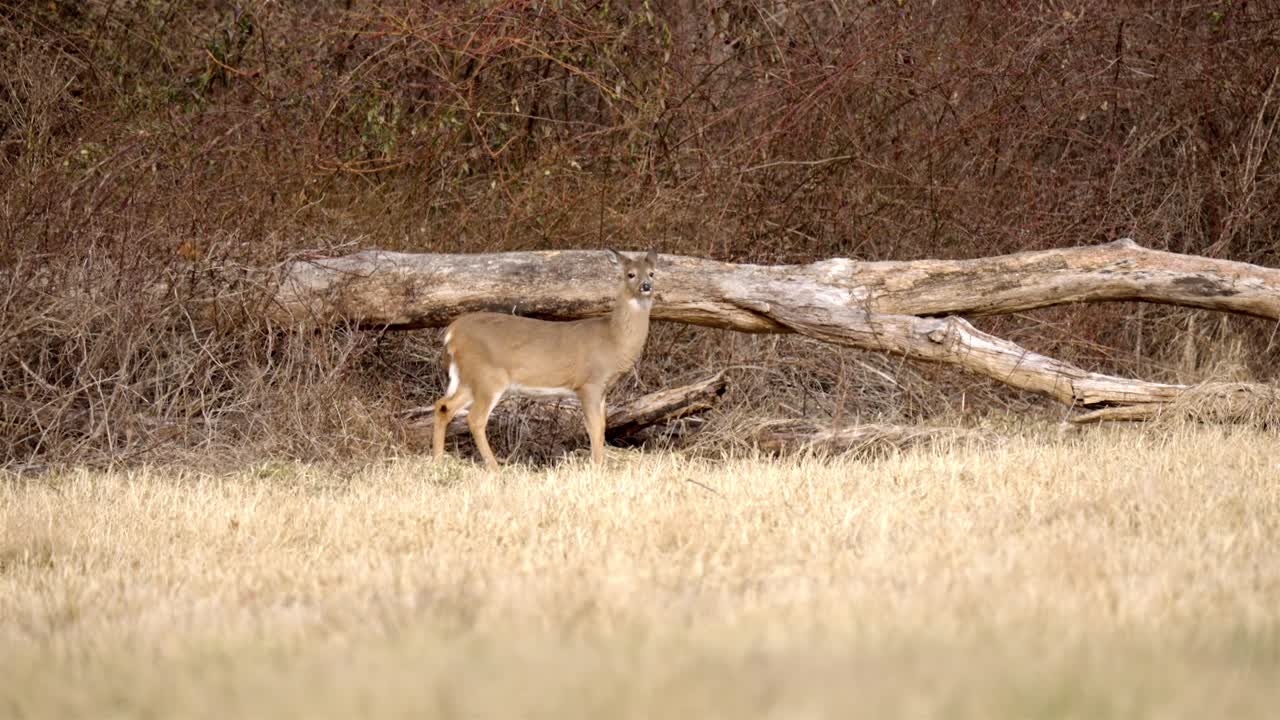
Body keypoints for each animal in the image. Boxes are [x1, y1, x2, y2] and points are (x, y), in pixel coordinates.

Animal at [431, 249, 658, 470]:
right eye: (630, 274)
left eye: (652, 273)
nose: (646, 286)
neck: (613, 339)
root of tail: (452, 332)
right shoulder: (589, 383)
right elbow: (595, 427)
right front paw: (596, 468)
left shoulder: (603, 389)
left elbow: (603, 426)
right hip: (488, 376)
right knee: (475, 418)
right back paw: (494, 468)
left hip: (469, 379)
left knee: (443, 406)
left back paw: (438, 461)